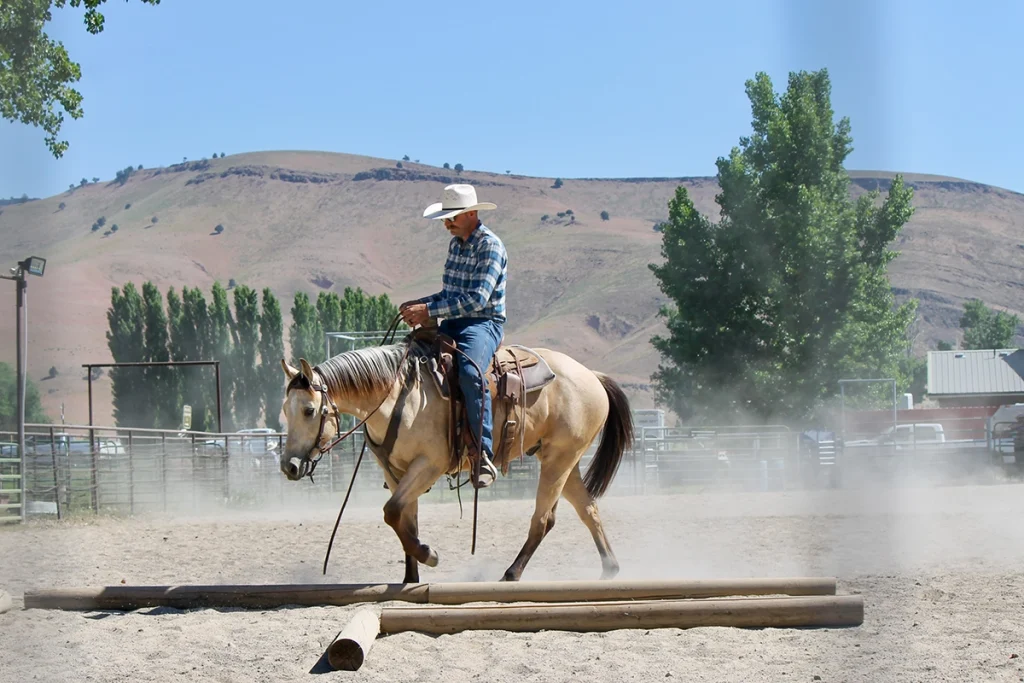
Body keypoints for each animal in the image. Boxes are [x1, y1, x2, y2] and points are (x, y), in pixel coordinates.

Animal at [277, 328, 634, 584]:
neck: (398, 395)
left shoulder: (428, 465)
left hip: (558, 460)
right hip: (563, 460)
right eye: (285, 410)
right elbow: (403, 517)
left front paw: (428, 554)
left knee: (543, 519)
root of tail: (591, 375)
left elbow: (392, 512)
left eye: (309, 410)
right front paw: (411, 577)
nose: (289, 466)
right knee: (588, 510)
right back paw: (610, 568)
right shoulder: (395, 471)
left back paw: (511, 573)